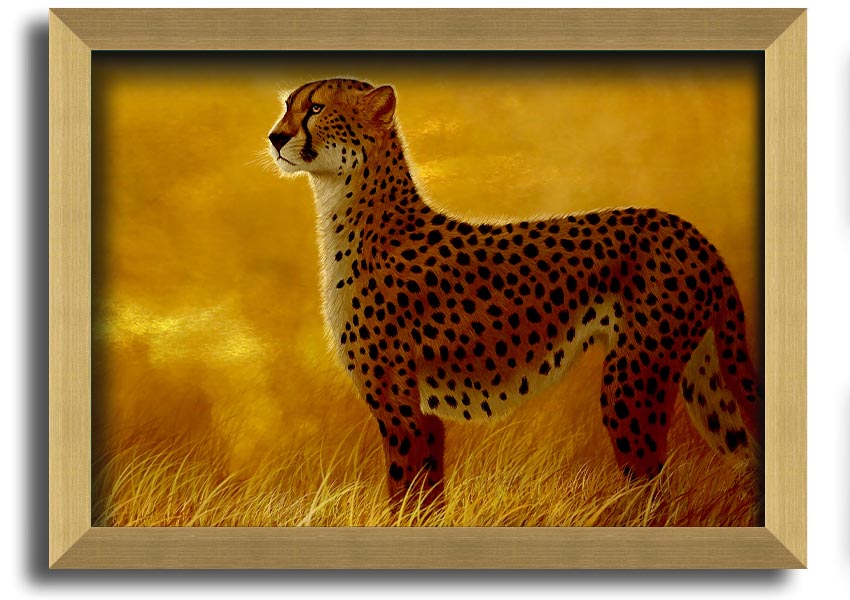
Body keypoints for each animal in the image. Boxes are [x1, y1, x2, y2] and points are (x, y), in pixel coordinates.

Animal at [267, 77, 763, 510]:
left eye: (316, 108)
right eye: (288, 105)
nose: (274, 137)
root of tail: (688, 229)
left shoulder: (400, 409)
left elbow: (405, 494)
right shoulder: (423, 413)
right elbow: (425, 497)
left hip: (633, 380)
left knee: (652, 482)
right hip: (702, 377)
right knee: (745, 453)